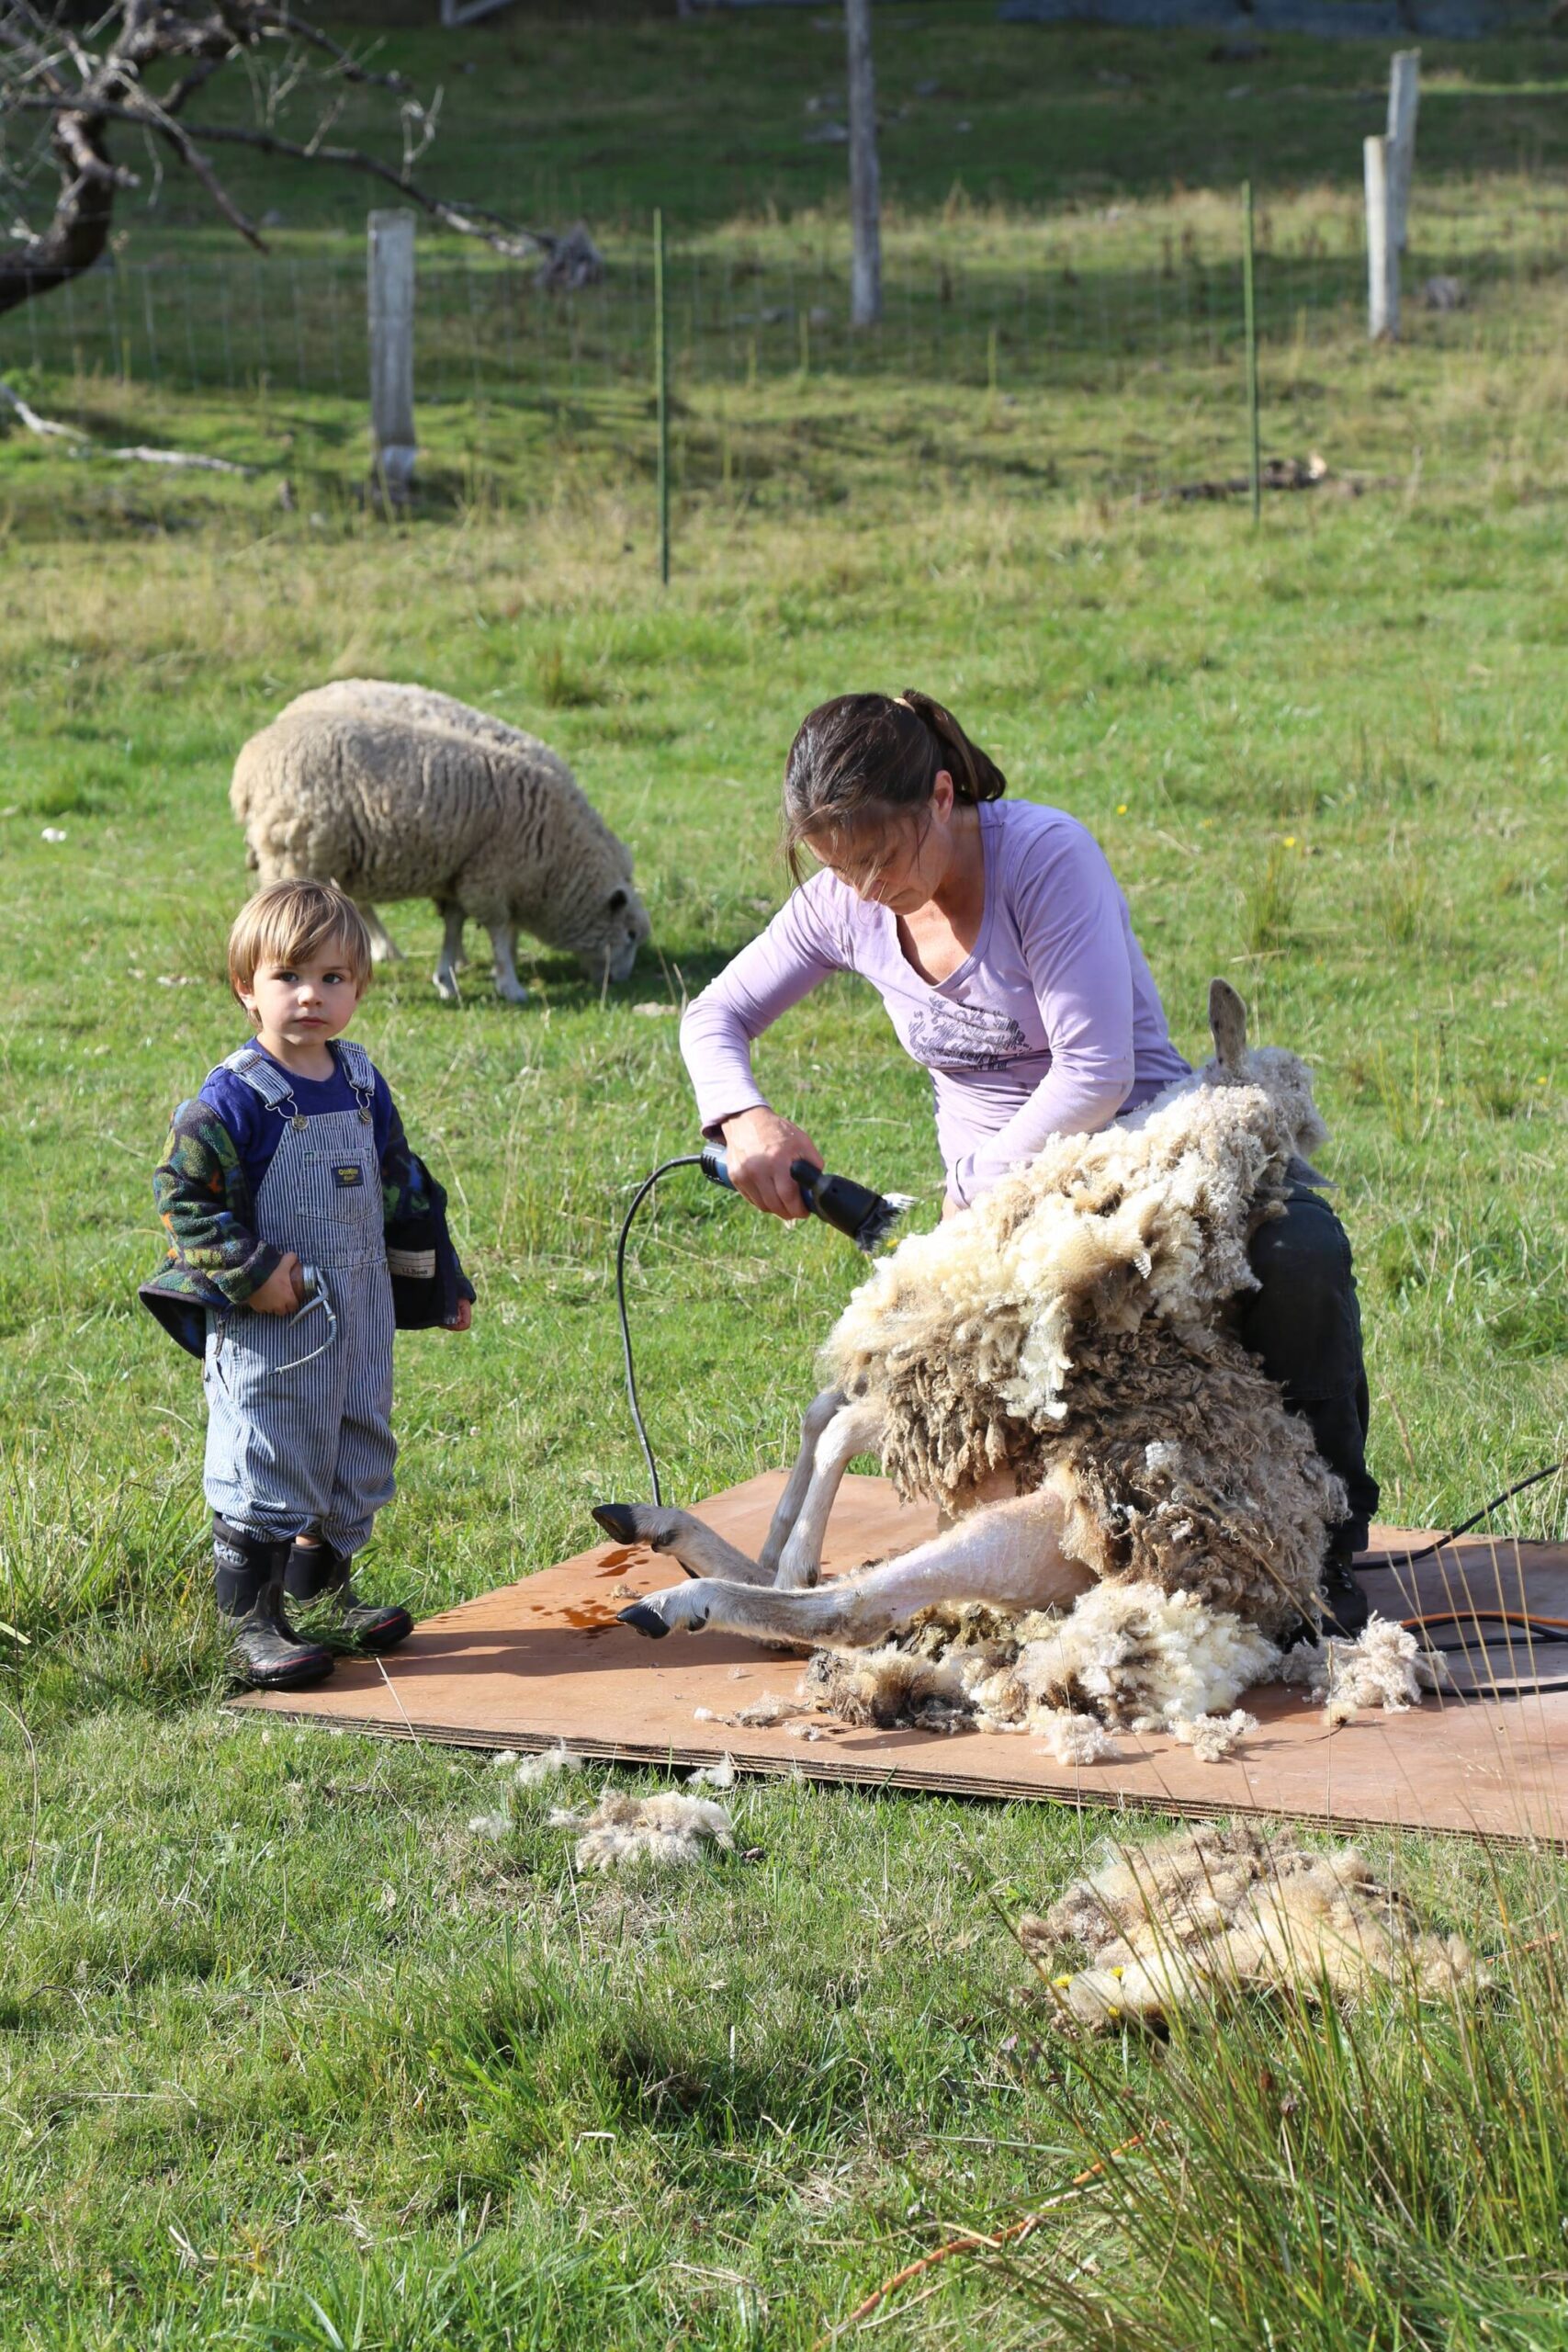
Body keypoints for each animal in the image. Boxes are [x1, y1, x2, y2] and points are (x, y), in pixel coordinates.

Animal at [230, 686, 653, 1006]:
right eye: (630, 936)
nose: (619, 982)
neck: (556, 851)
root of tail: (248, 765)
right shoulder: (489, 876)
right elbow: (498, 931)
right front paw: (509, 983)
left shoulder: (462, 870)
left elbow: (454, 922)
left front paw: (448, 975)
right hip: (296, 853)